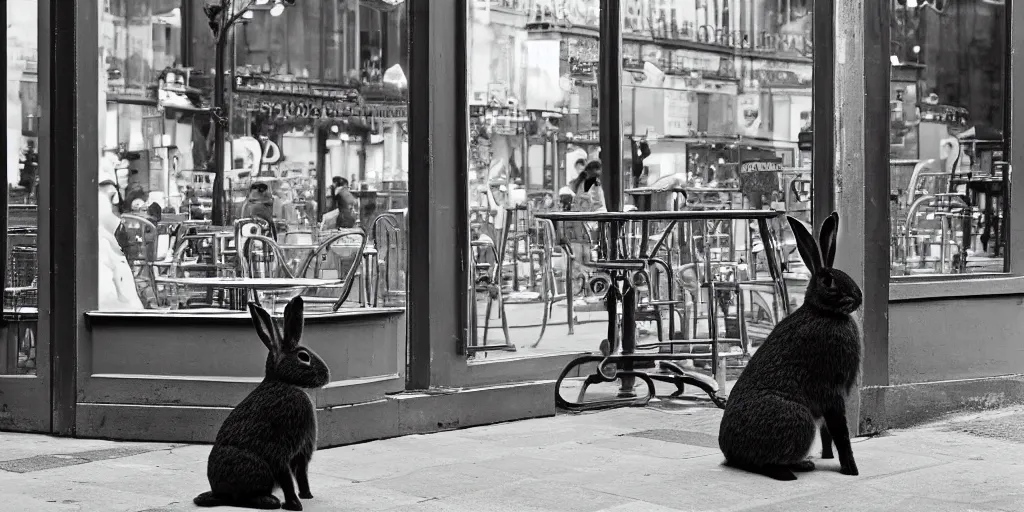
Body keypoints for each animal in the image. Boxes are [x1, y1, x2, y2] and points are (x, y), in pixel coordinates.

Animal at [193, 296, 329, 507]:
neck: (282, 381)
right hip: (256, 470)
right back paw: (270, 501)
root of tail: (219, 492)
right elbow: (287, 478)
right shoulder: (280, 450)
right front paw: (295, 506)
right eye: (303, 357)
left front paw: (307, 496)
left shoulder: (302, 453)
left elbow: (301, 475)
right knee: (241, 498)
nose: (326, 375)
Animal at [720, 210, 864, 479]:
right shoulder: (832, 389)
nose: (858, 296)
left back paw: (803, 464)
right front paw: (850, 469)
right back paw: (788, 473)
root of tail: (729, 453)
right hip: (799, 419)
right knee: (762, 463)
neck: (823, 312)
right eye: (828, 281)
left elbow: (830, 433)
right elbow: (840, 433)